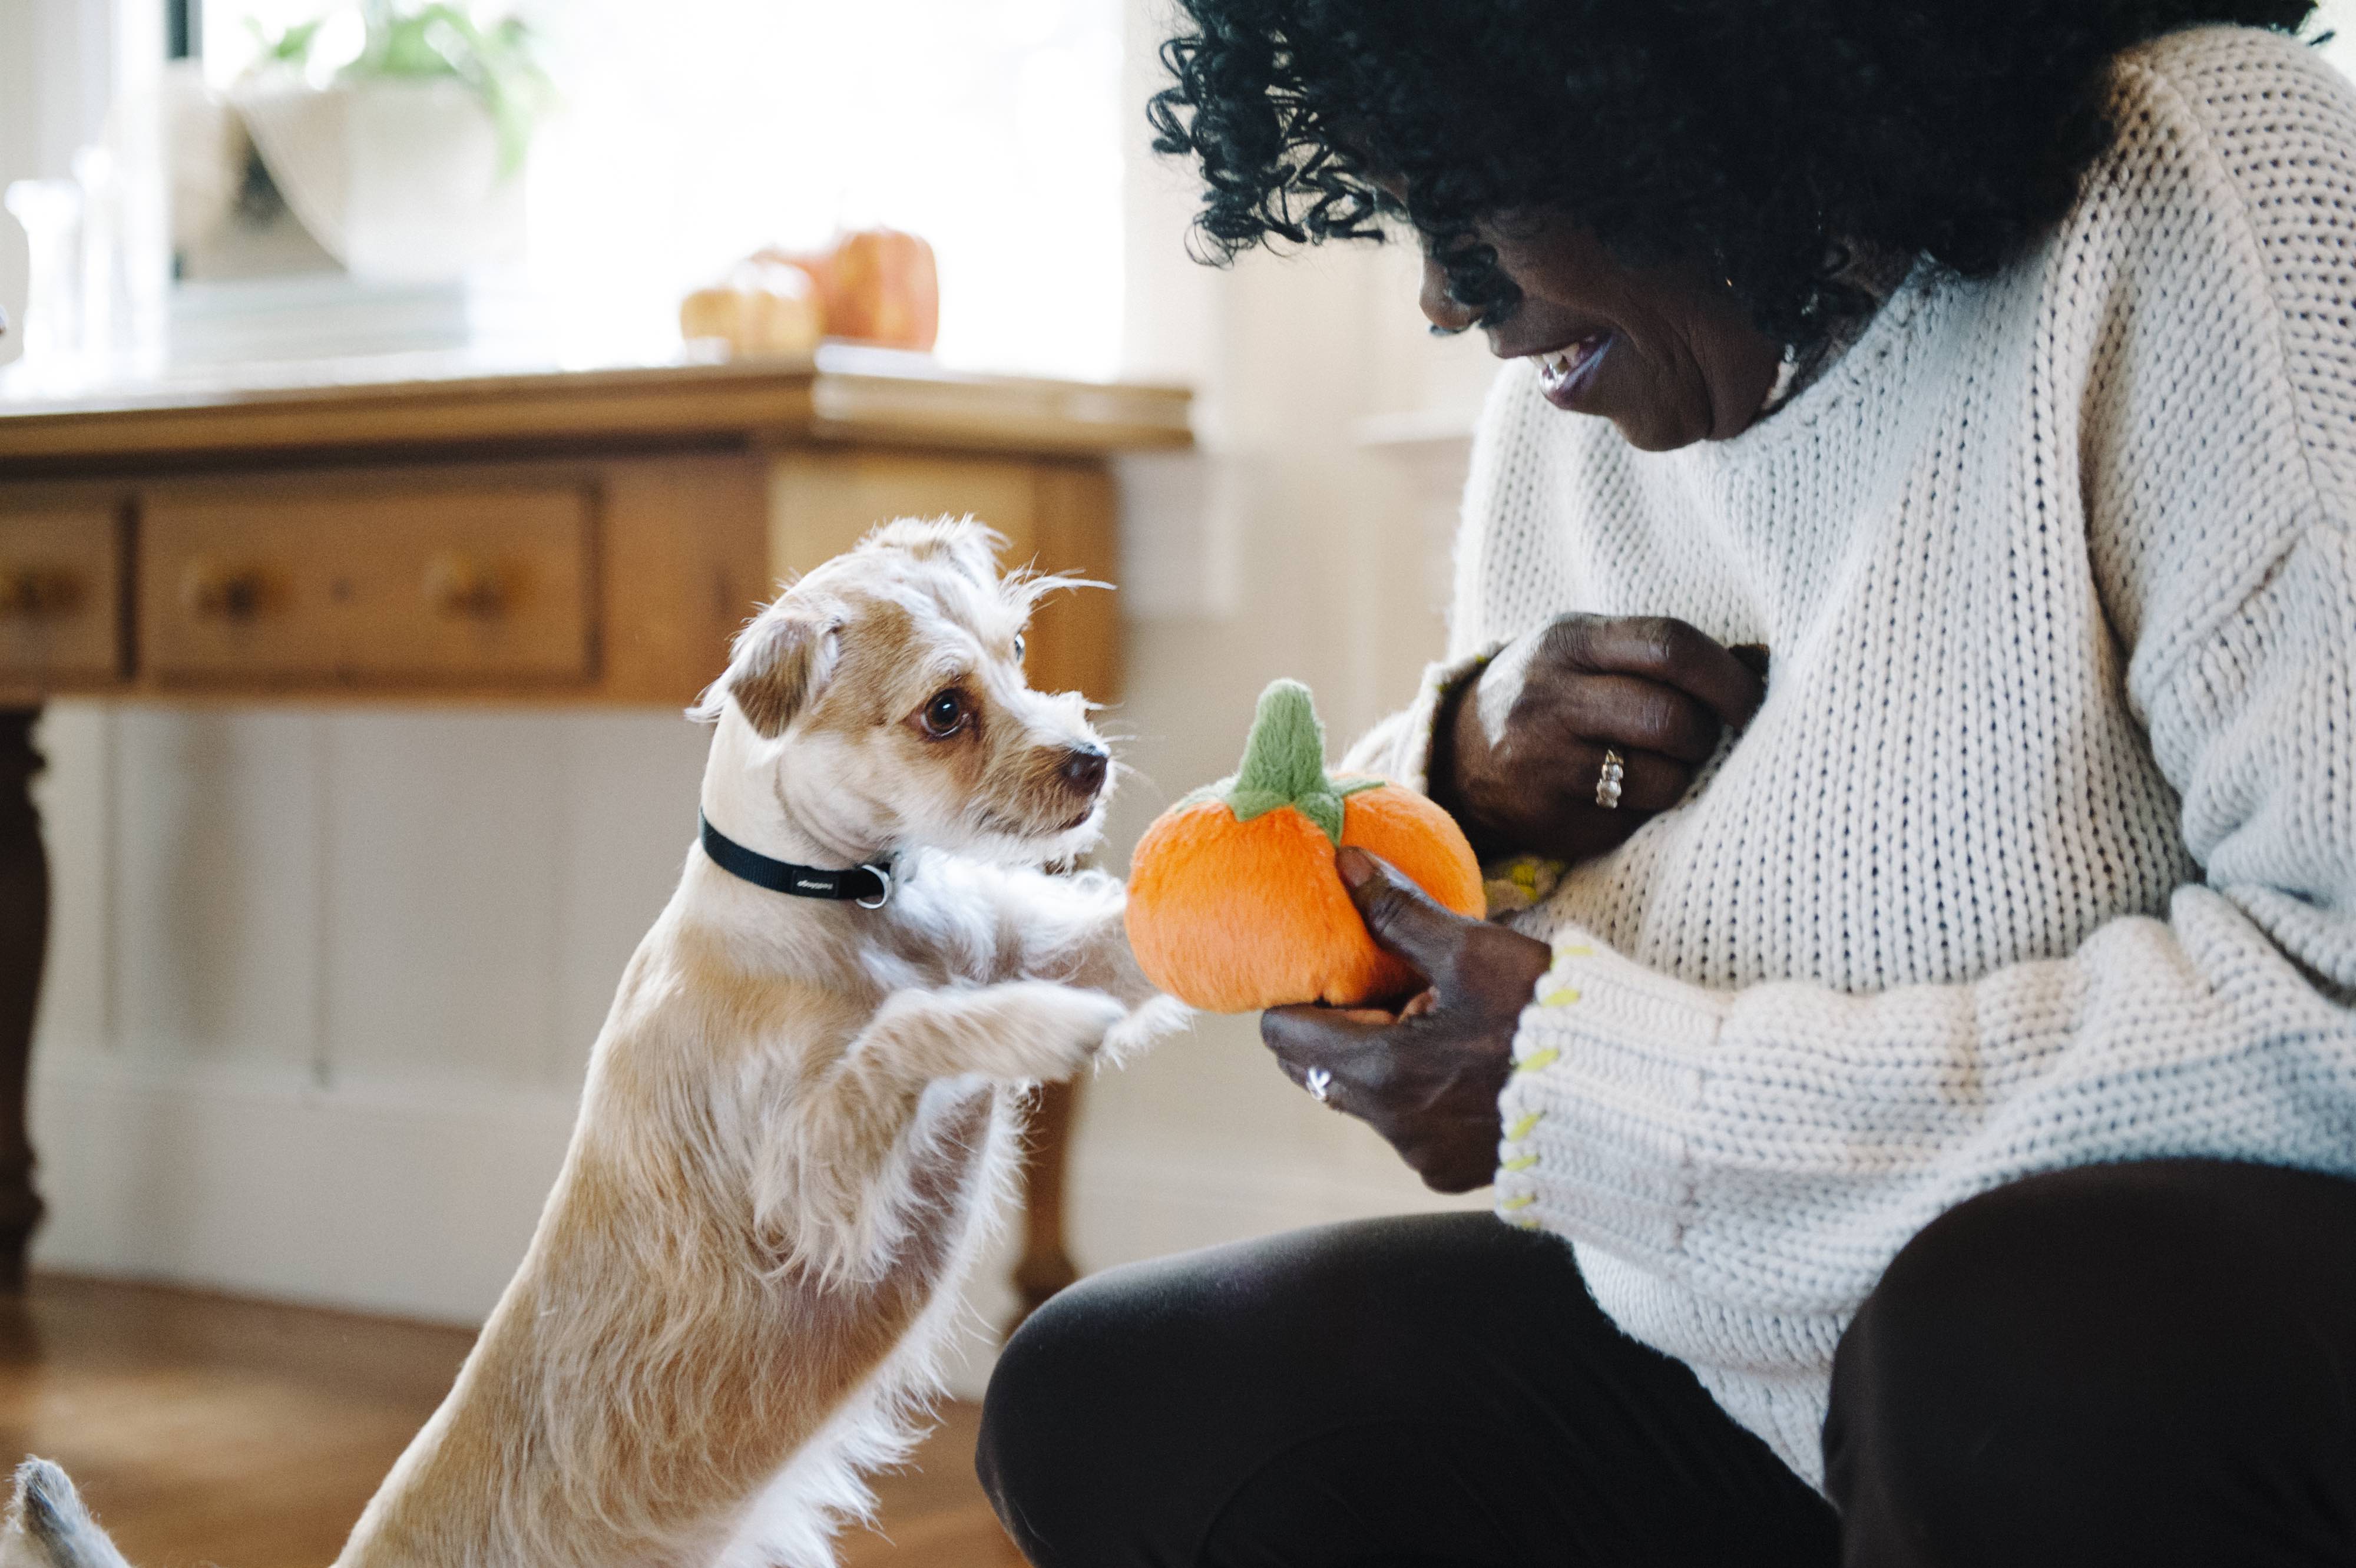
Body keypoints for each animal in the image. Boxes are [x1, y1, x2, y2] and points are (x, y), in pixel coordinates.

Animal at [0, 515, 1178, 1563]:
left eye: (1016, 650)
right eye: (944, 710)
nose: (1089, 761)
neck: (853, 900)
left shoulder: (1056, 949)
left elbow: (1132, 933)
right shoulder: (819, 1192)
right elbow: (915, 1030)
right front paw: (1035, 1028)